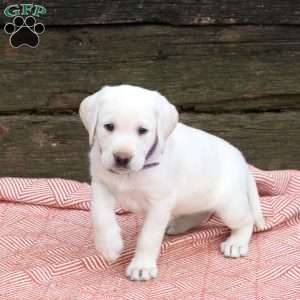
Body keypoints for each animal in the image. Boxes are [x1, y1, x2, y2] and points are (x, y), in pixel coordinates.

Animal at [78, 85, 264, 282]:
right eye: (109, 127)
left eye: (142, 130)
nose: (122, 158)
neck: (131, 174)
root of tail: (242, 160)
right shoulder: (100, 184)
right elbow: (100, 216)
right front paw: (109, 245)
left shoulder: (159, 204)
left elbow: (148, 237)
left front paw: (141, 266)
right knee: (201, 213)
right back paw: (178, 225)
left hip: (230, 206)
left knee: (246, 220)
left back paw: (236, 243)